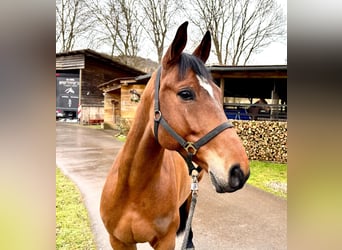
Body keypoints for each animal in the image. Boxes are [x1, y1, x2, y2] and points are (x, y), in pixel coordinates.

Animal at [100, 22, 250, 250]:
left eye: (218, 92)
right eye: (185, 93)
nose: (239, 171)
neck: (133, 190)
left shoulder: (165, 242)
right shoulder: (119, 241)